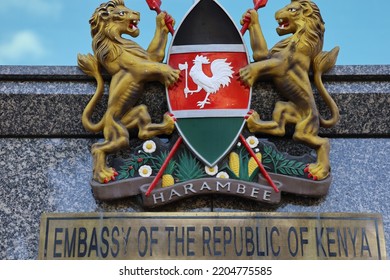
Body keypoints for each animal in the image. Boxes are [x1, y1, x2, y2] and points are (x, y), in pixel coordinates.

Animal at [78, 0, 181, 184]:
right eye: (121, 13)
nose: (138, 13)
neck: (118, 42)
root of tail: (105, 120)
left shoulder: (148, 56)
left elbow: (155, 56)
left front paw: (163, 19)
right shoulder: (135, 66)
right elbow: (152, 66)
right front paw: (170, 73)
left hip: (136, 112)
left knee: (143, 131)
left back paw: (168, 124)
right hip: (118, 134)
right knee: (97, 147)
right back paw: (104, 175)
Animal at [239, 0, 340, 180]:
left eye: (292, 9)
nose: (276, 12)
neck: (299, 37)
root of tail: (317, 116)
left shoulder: (281, 64)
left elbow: (261, 64)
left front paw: (247, 73)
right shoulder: (268, 55)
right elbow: (260, 56)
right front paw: (249, 16)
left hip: (304, 129)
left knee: (323, 141)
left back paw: (318, 170)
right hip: (284, 106)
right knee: (279, 129)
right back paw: (254, 121)